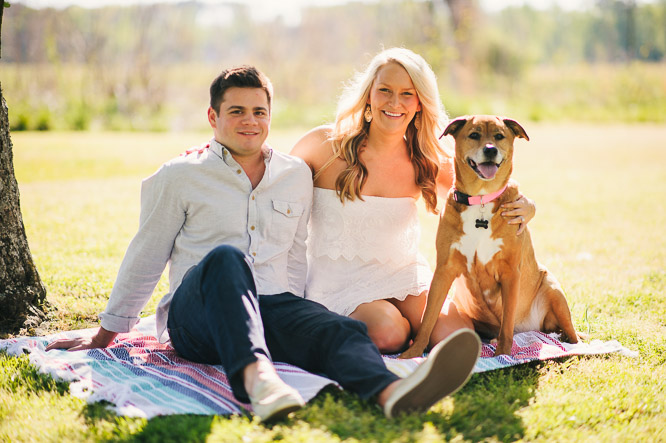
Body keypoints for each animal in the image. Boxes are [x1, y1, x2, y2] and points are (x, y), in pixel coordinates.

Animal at [400, 116, 576, 360]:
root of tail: (530, 329)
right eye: (474, 135)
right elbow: (428, 318)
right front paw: (413, 353)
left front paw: (503, 354)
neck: (481, 199)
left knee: (572, 335)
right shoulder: (444, 270)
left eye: (499, 136)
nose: (490, 150)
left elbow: (507, 323)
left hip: (554, 291)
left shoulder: (510, 272)